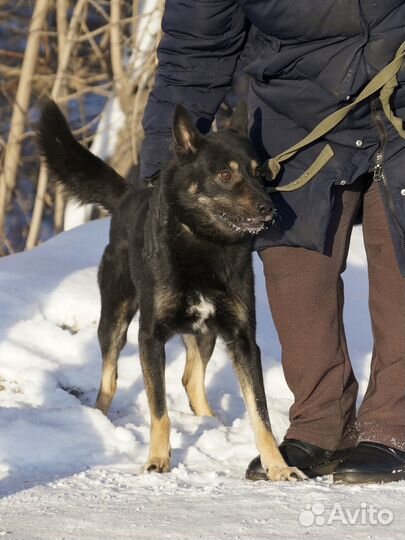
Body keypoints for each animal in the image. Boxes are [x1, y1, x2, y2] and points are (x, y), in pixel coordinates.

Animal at [38, 100, 304, 480]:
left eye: (259, 174)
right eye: (226, 174)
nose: (269, 209)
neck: (205, 245)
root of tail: (131, 194)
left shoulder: (242, 339)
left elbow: (260, 412)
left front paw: (278, 467)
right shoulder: (150, 337)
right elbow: (159, 410)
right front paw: (158, 459)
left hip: (205, 332)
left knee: (191, 379)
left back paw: (209, 422)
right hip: (115, 318)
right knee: (110, 376)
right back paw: (101, 419)